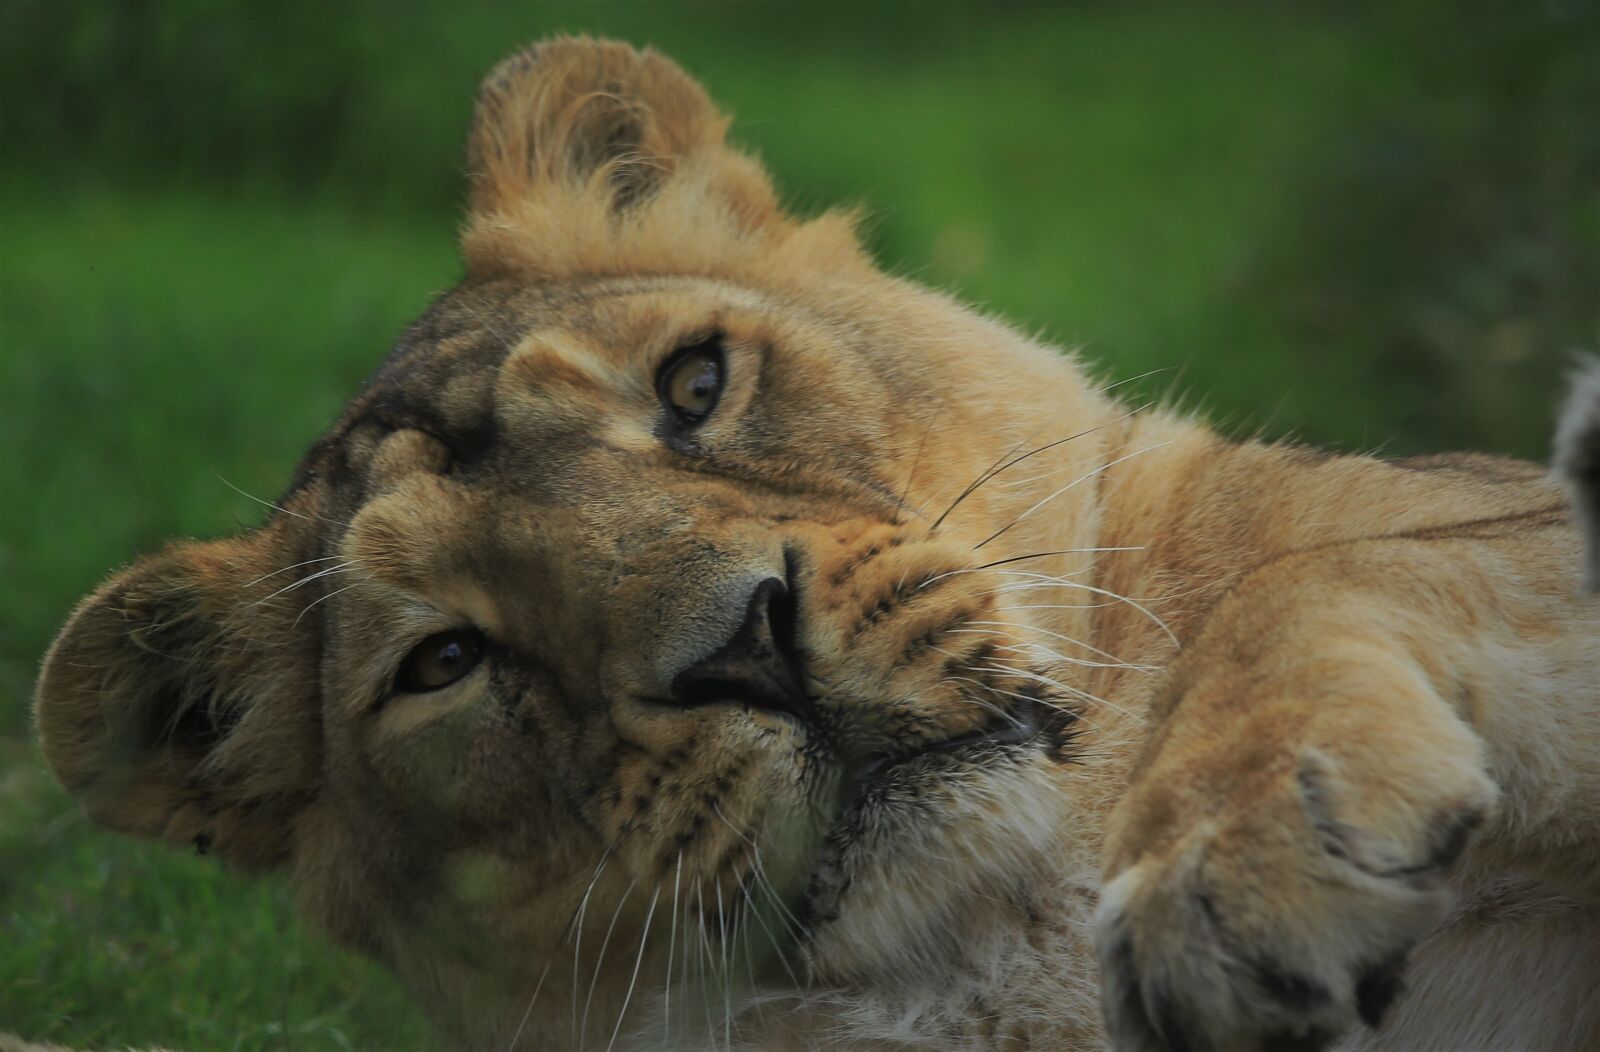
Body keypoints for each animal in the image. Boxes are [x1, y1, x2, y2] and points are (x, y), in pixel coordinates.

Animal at [32, 37, 1600, 1052]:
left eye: (693, 386)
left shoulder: (1480, 538)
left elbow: (1300, 574)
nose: (745, 645)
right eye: (448, 660)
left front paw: (1240, 865)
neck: (1009, 944)